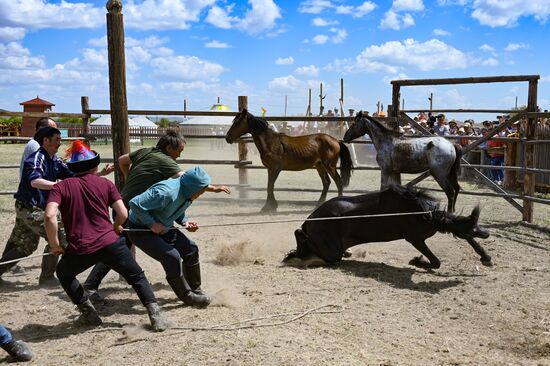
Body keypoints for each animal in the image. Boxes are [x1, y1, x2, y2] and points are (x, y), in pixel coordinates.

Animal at [282, 186, 494, 268]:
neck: (422, 212)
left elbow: (465, 234)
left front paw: (486, 257)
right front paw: (417, 261)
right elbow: (436, 262)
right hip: (330, 249)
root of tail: (310, 219)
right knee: (302, 240)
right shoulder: (415, 238)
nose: (486, 233)